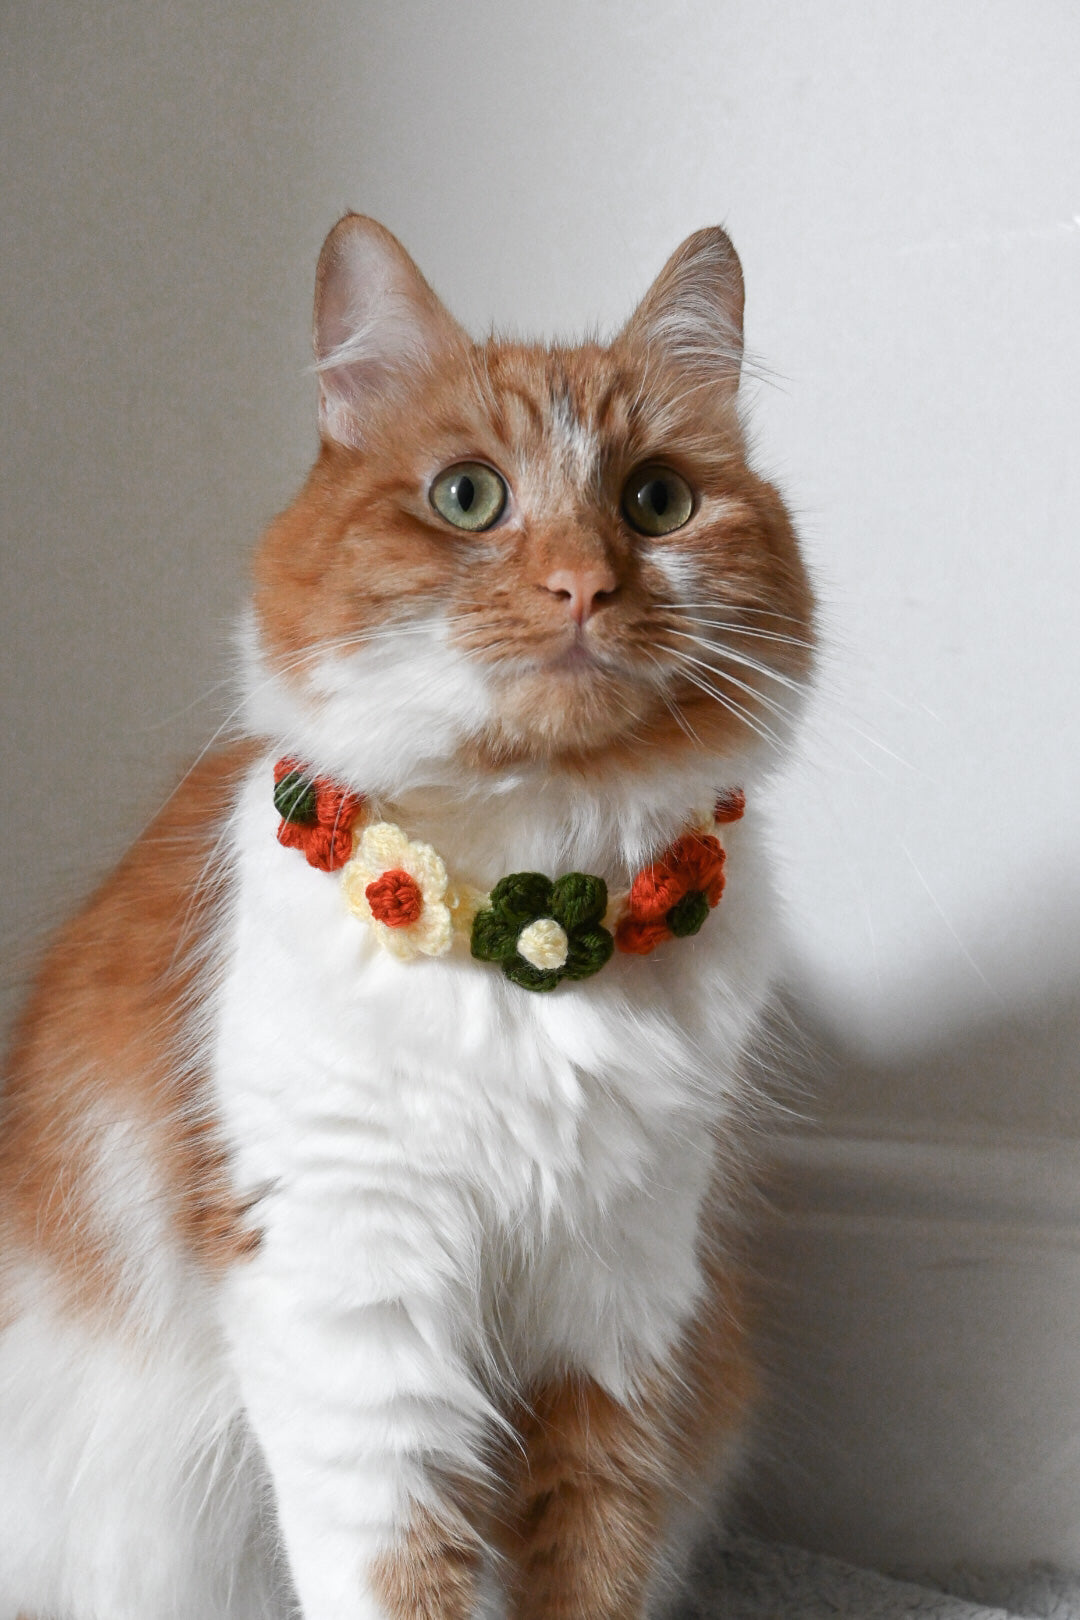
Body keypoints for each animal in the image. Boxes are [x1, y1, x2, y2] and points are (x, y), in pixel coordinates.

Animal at [0, 218, 809, 1620]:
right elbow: (401, 1568)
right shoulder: (349, 1290)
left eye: (659, 502)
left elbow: (591, 1556)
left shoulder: (616, 1300)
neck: (537, 925)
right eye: (469, 497)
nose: (582, 587)